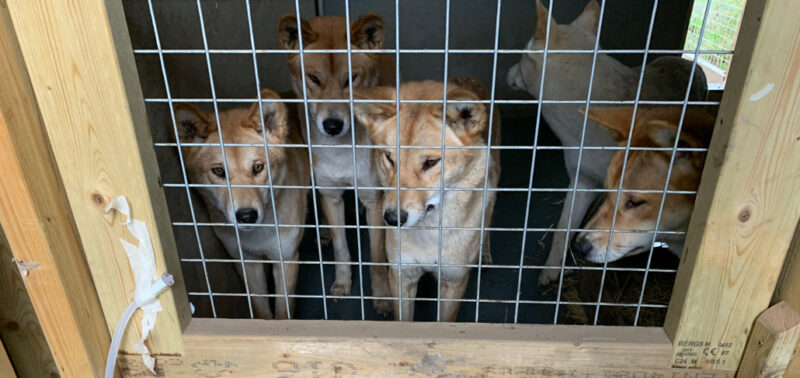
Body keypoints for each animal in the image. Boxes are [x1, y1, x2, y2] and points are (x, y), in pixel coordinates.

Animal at [173, 89, 308, 318]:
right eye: (218, 171)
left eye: (258, 167)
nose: (246, 215)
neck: (258, 235)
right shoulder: (246, 262)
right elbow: (262, 310)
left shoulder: (286, 260)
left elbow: (283, 313)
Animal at [278, 13, 396, 314]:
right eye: (314, 78)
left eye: (351, 79)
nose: (332, 125)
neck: (342, 150)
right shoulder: (330, 194)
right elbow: (342, 249)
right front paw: (343, 283)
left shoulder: (374, 197)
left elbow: (377, 260)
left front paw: (382, 296)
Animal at [354, 78, 500, 320]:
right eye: (389, 158)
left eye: (431, 162)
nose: (392, 219)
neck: (429, 235)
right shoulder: (402, 276)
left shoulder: (453, 281)